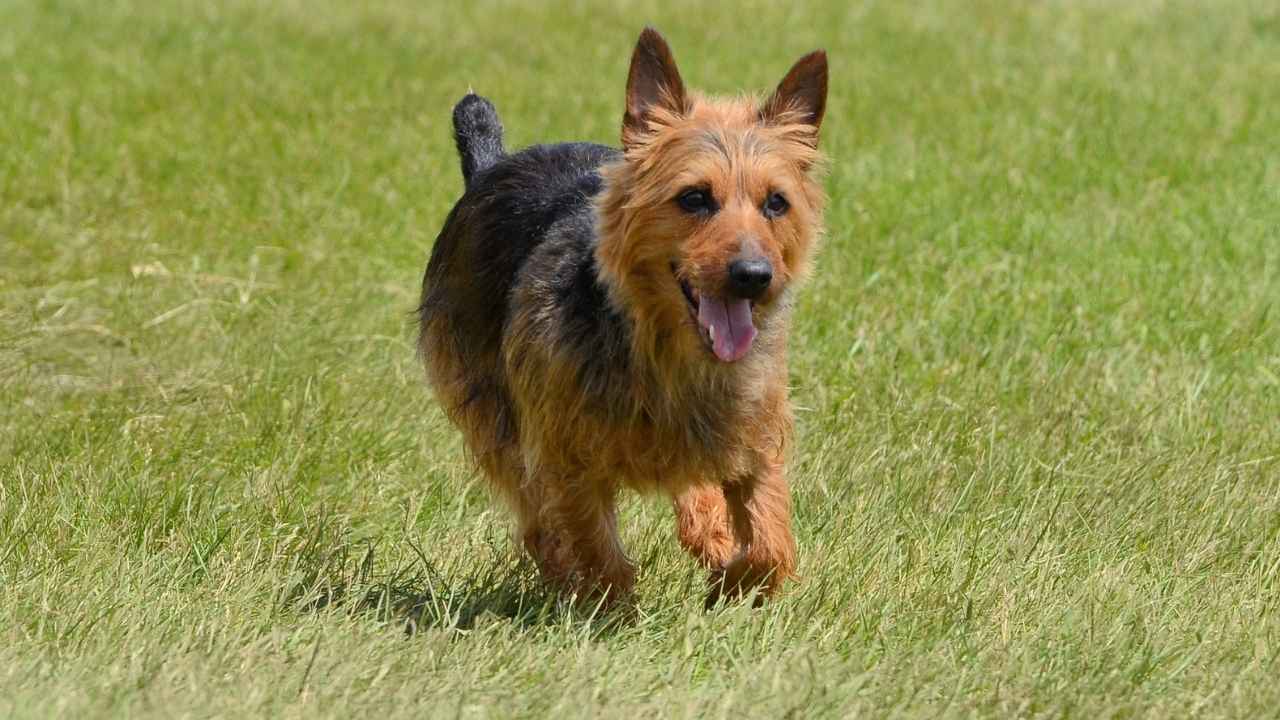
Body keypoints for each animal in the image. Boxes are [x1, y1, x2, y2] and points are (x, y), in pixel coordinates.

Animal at [414, 25, 824, 602]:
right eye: (694, 198)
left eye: (776, 203)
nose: (753, 274)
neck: (664, 353)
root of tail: (490, 167)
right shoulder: (564, 456)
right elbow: (596, 550)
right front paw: (611, 609)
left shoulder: (757, 439)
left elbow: (771, 546)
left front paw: (729, 583)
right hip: (492, 418)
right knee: (536, 522)